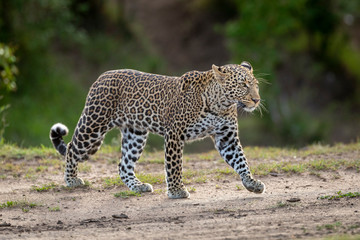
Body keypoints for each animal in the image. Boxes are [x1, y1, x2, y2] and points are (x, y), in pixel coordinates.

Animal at [50, 61, 264, 199]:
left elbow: (241, 161)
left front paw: (251, 183)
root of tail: (102, 76)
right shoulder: (175, 134)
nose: (256, 100)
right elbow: (174, 166)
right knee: (72, 148)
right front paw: (176, 191)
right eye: (243, 85)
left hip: (135, 134)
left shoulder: (227, 138)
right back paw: (72, 180)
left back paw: (138, 187)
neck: (221, 104)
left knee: (124, 165)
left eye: (256, 85)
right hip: (94, 126)